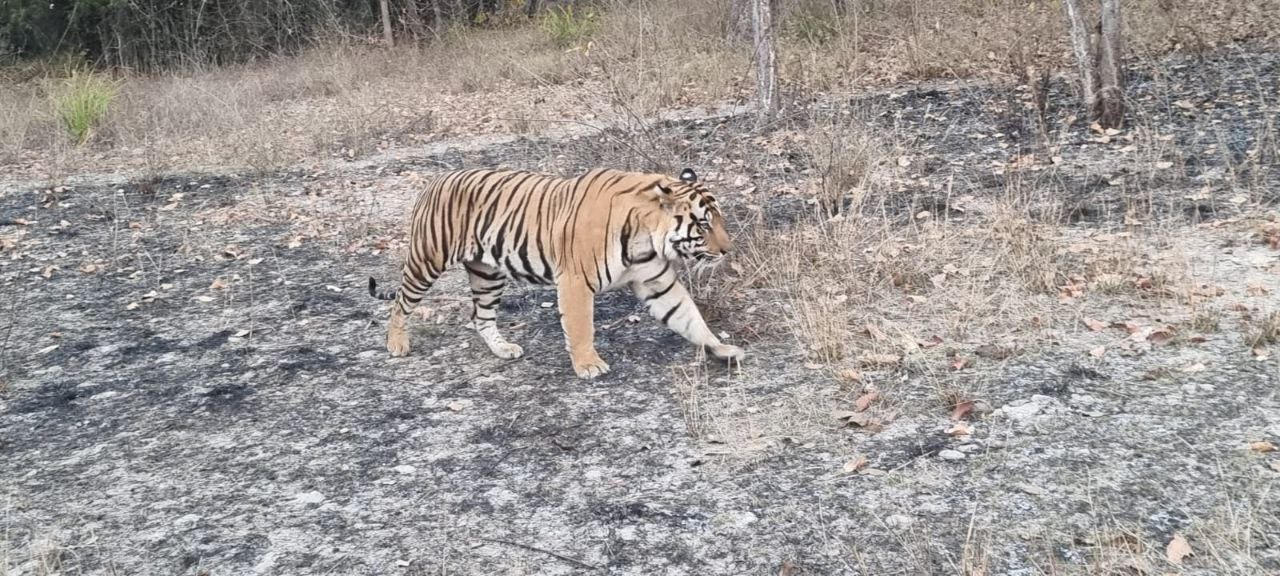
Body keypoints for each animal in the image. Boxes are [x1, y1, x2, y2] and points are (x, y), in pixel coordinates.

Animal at [366, 166, 747, 381]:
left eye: (719, 220)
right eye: (704, 224)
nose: (728, 250)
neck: (647, 237)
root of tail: (434, 180)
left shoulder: (656, 282)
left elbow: (689, 317)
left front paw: (722, 349)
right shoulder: (576, 280)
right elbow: (580, 327)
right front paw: (588, 365)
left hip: (487, 273)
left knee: (481, 316)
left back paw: (503, 349)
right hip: (427, 260)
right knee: (400, 302)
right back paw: (396, 344)